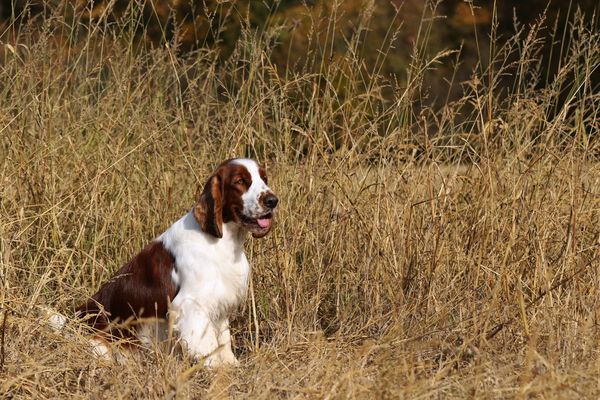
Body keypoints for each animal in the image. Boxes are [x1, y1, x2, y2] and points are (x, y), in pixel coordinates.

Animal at [54, 159, 276, 366]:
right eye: (240, 181)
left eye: (264, 178)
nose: (273, 200)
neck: (222, 240)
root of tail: (69, 322)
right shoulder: (191, 305)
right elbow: (208, 347)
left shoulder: (219, 302)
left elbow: (224, 340)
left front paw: (232, 366)